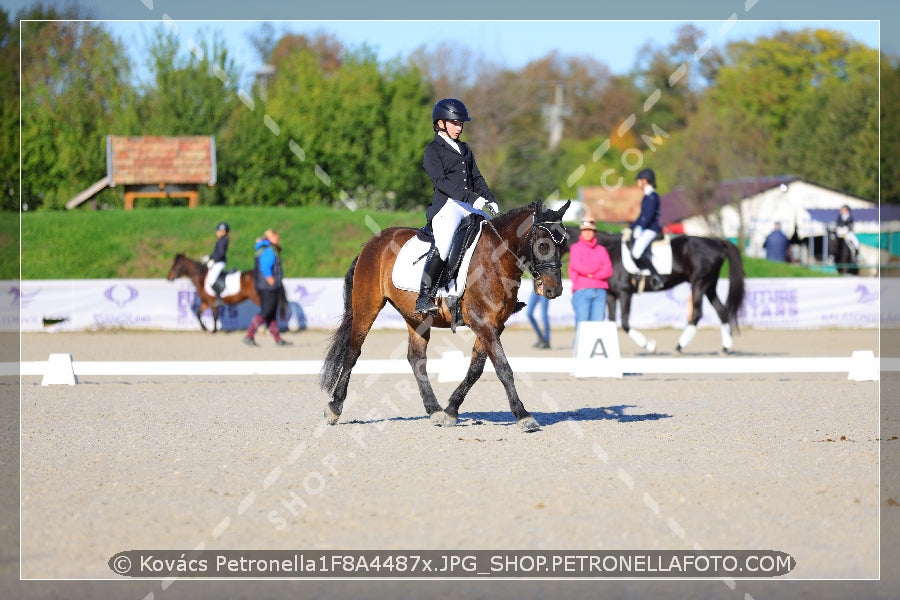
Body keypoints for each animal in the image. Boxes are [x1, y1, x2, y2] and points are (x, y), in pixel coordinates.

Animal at [320, 202, 568, 432]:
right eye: (543, 245)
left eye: (564, 245)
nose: (554, 290)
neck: (496, 258)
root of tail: (371, 243)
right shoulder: (483, 323)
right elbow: (503, 368)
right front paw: (523, 415)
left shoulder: (494, 325)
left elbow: (476, 369)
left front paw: (450, 410)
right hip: (367, 306)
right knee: (353, 352)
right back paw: (334, 407)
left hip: (416, 318)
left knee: (416, 359)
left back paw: (435, 410)